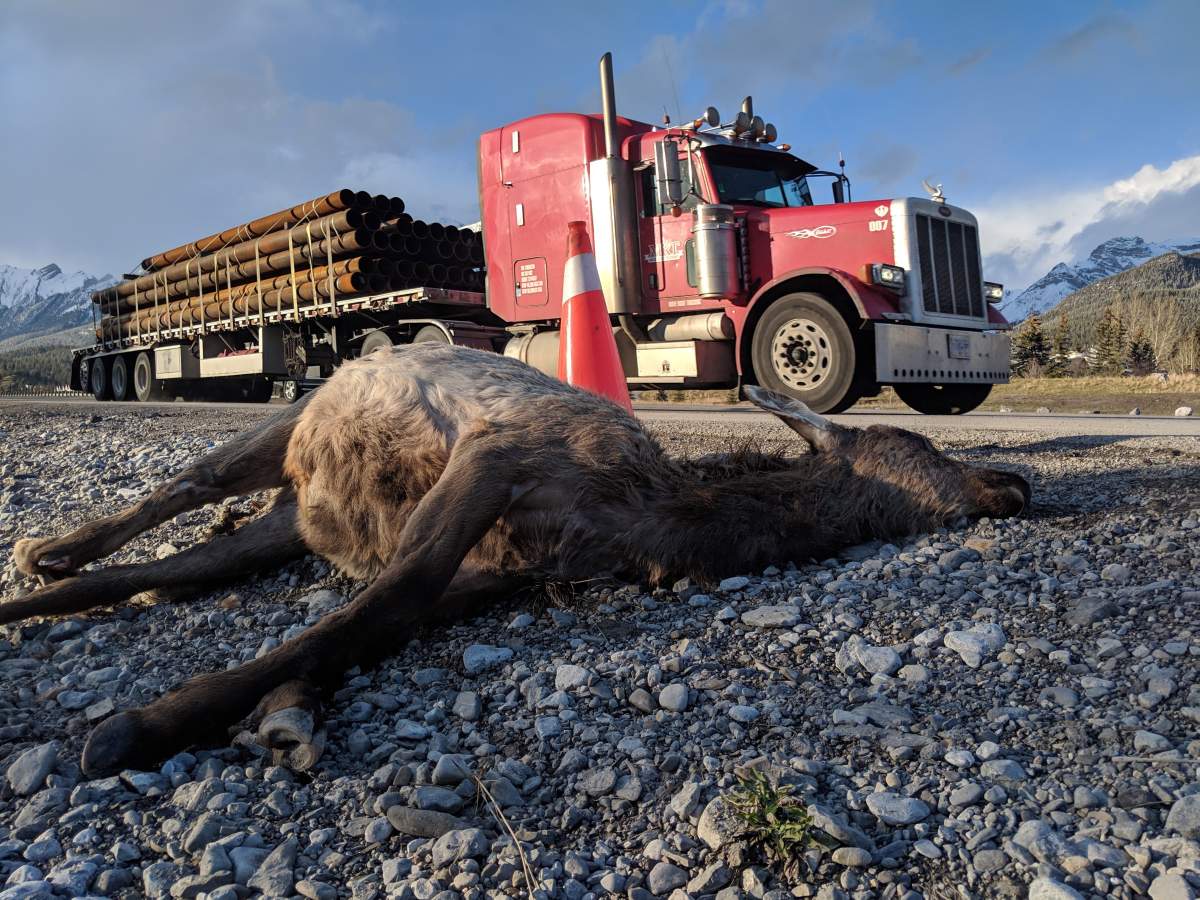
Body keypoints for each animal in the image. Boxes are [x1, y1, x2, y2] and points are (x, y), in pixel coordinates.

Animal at [2, 343, 1030, 778]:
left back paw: (36, 591)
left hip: (294, 518)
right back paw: (45, 546)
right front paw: (136, 728)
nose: (1015, 481)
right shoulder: (501, 456)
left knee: (166, 571)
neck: (654, 523)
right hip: (282, 427)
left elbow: (362, 627)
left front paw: (281, 718)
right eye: (920, 446)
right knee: (179, 489)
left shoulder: (498, 570)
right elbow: (383, 604)